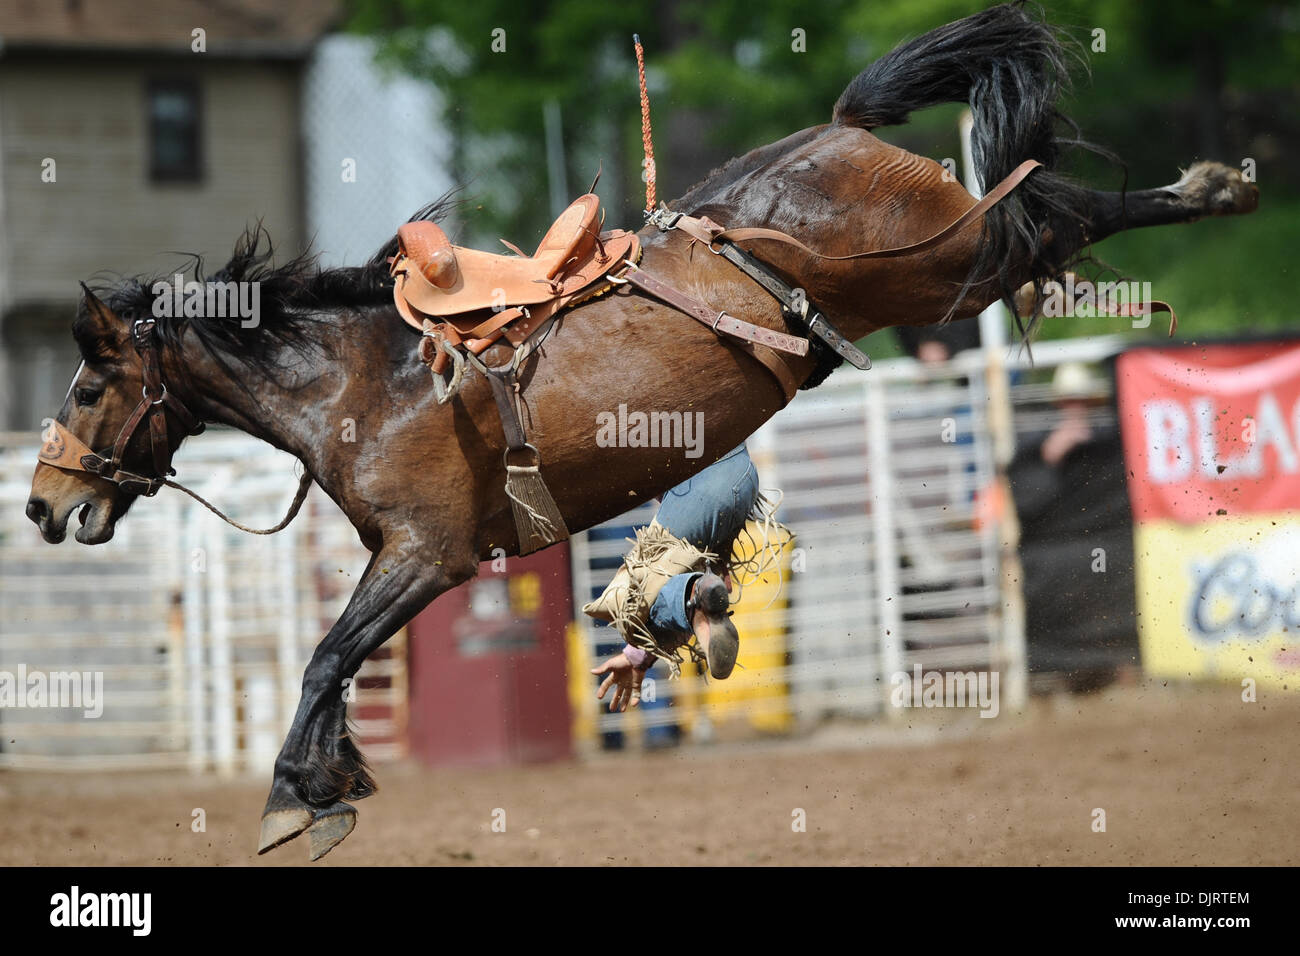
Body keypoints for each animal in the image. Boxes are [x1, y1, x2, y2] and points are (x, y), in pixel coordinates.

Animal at [22, 5, 1258, 858]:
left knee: (1059, 210)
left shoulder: (427, 554)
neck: (364, 381)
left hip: (947, 262)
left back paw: (1216, 186)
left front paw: (294, 795)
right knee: (1048, 214)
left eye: (84, 387)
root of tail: (836, 133)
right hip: (943, 271)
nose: (41, 503)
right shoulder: (405, 560)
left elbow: (329, 654)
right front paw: (336, 781)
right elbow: (338, 664)